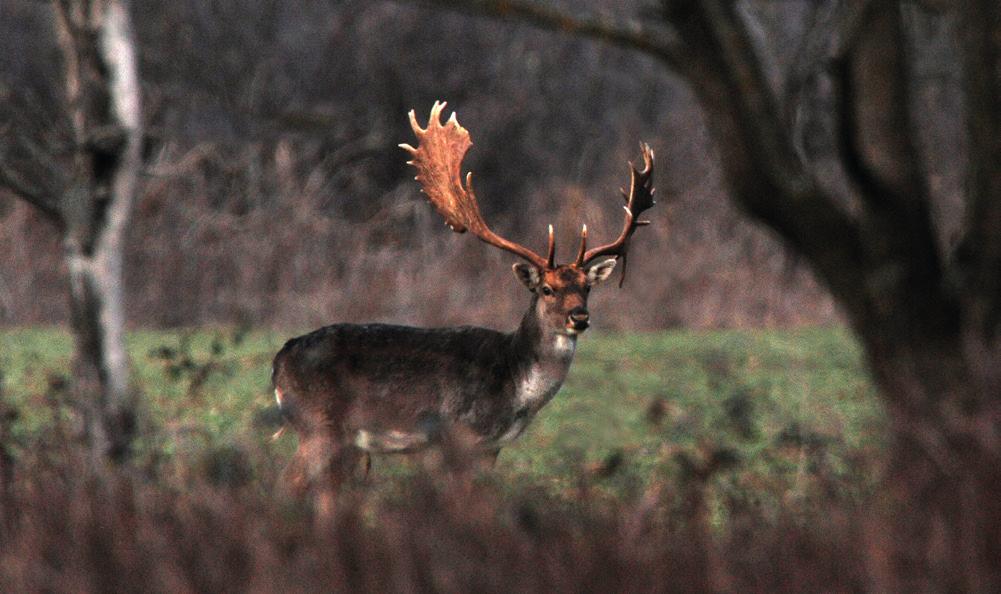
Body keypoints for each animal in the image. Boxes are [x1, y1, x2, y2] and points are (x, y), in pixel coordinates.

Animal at [270, 103, 656, 500]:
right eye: (546, 289)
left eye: (586, 287)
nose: (579, 317)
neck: (514, 382)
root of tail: (280, 360)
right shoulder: (458, 434)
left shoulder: (491, 447)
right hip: (319, 425)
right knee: (286, 483)